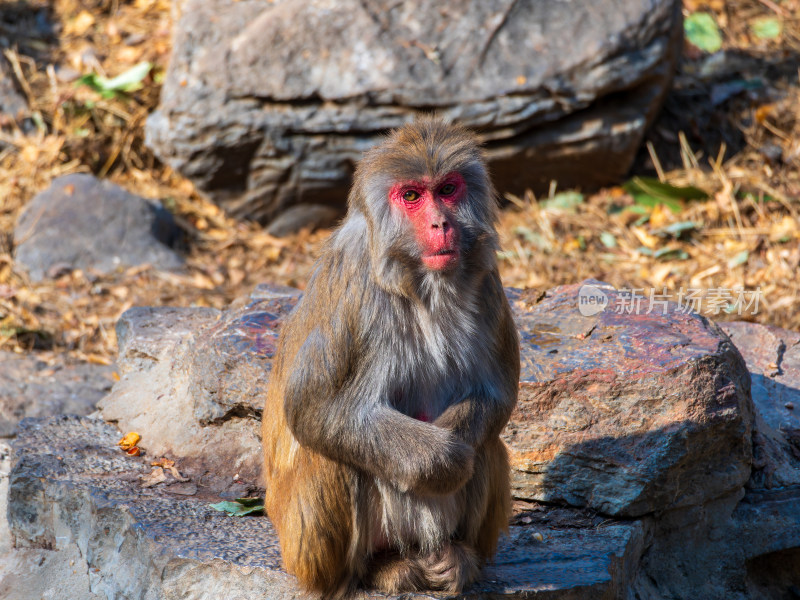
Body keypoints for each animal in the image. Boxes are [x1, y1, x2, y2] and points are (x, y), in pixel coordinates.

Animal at [262, 116, 520, 596]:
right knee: (333, 459)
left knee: (489, 442)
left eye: (448, 189)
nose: (440, 224)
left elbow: (497, 394)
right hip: (300, 549)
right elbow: (312, 408)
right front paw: (442, 458)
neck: (417, 279)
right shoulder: (355, 288)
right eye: (412, 196)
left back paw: (458, 556)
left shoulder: (488, 279)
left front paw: (454, 440)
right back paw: (373, 570)